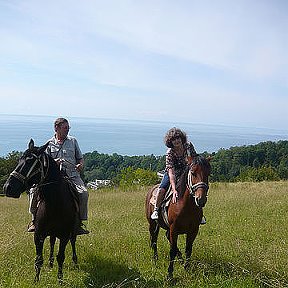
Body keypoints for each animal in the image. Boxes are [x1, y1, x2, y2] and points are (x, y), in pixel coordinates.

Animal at [2, 139, 79, 282]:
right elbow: (38, 259)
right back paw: (50, 263)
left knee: (73, 243)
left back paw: (75, 262)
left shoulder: (65, 235)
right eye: (19, 160)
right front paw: (36, 280)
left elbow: (61, 257)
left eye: (29, 162)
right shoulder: (38, 235)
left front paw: (60, 280)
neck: (55, 202)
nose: (7, 187)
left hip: (72, 232)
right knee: (52, 242)